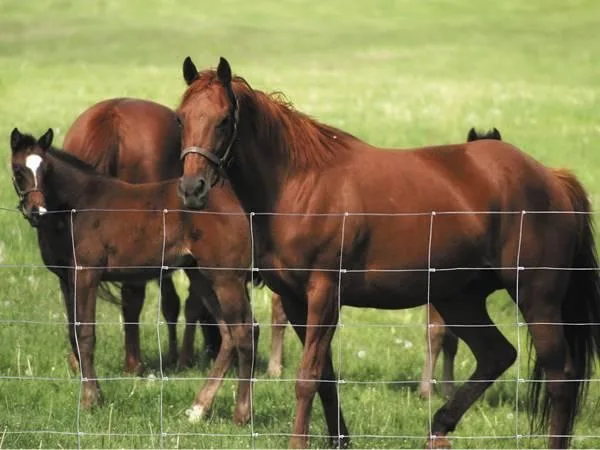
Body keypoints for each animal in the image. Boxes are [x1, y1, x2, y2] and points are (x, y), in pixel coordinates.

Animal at [176, 57, 600, 450]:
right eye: (182, 119)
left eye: (224, 120)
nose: (192, 188)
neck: (300, 186)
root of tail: (551, 178)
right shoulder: (296, 300)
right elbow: (325, 377)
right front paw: (340, 440)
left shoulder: (324, 294)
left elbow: (307, 377)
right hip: (459, 299)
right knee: (497, 354)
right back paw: (439, 426)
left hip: (536, 297)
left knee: (560, 376)